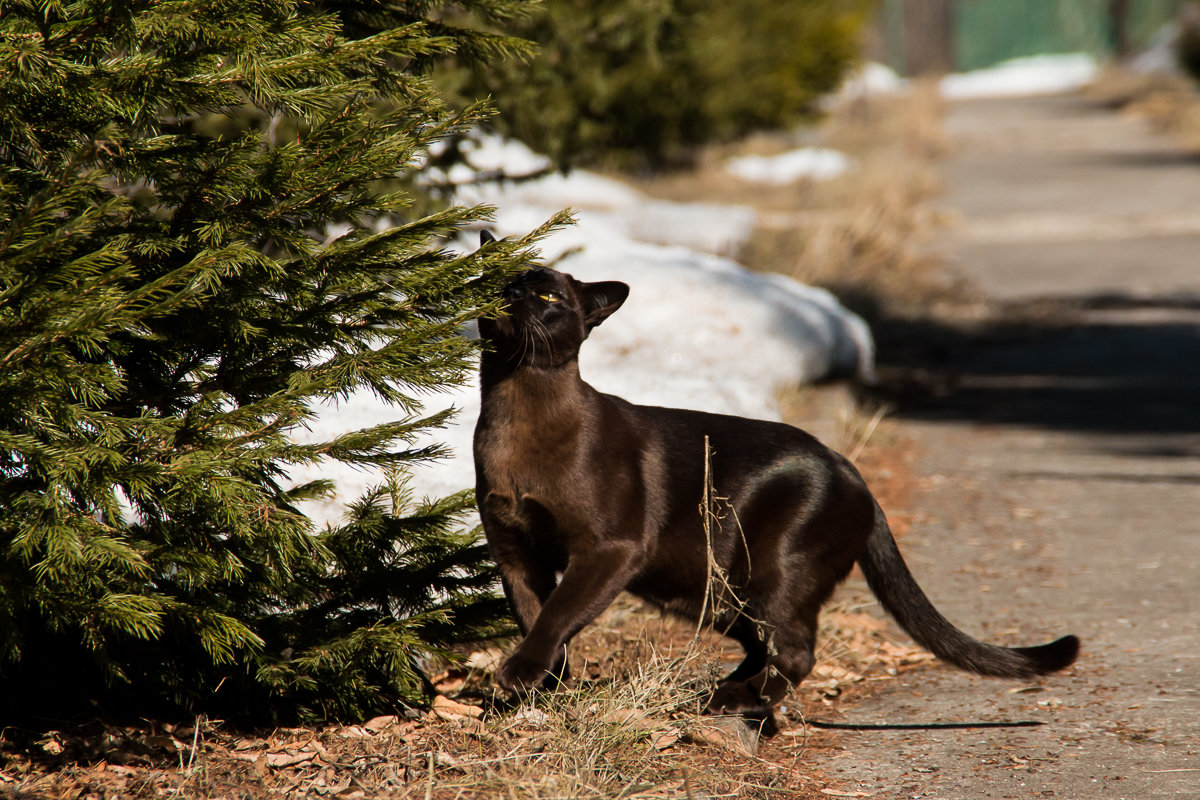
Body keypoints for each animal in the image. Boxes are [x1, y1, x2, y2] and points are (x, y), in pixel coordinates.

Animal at [470, 256, 1080, 724]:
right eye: (499, 278)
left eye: (547, 295)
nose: (512, 292)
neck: (515, 413)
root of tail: (852, 470)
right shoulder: (514, 551)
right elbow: (535, 614)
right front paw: (540, 693)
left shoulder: (607, 550)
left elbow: (557, 614)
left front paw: (520, 677)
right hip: (718, 592)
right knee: (764, 646)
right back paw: (717, 693)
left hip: (770, 576)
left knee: (797, 651)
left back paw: (729, 701)